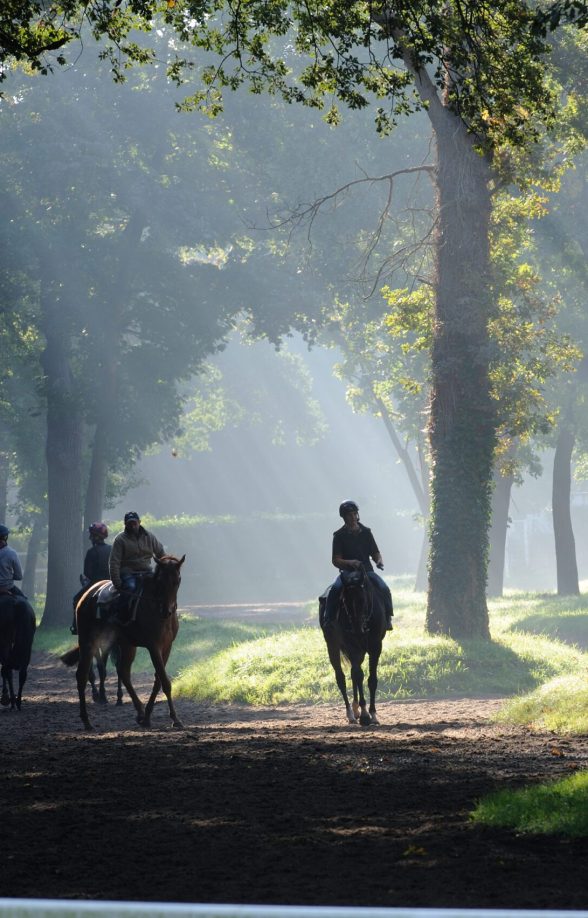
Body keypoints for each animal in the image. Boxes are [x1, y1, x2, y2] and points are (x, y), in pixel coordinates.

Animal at [61, 552, 184, 732]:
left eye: (177, 581)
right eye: (160, 581)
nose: (167, 610)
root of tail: (87, 595)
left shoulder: (166, 647)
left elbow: (158, 680)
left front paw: (148, 717)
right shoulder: (153, 646)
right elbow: (165, 681)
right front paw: (175, 719)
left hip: (127, 645)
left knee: (123, 673)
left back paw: (140, 713)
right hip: (88, 642)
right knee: (82, 675)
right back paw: (87, 720)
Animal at [320, 568, 388, 724]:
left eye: (363, 599)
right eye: (344, 601)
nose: (357, 629)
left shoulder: (376, 646)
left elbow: (371, 679)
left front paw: (373, 714)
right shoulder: (352, 647)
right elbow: (359, 675)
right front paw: (365, 715)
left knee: (352, 673)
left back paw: (356, 709)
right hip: (332, 646)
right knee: (341, 678)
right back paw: (351, 714)